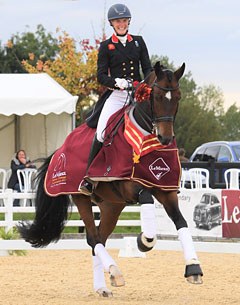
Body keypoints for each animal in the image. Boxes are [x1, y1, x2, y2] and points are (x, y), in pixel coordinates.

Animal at [18, 61, 202, 296]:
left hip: (111, 206)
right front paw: (144, 241)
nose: (165, 138)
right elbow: (147, 201)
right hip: (82, 198)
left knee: (100, 239)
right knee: (93, 238)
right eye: (158, 97)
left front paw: (194, 268)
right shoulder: (130, 187)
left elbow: (181, 222)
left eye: (177, 97)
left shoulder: (165, 190)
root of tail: (60, 149)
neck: (143, 138)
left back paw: (103, 286)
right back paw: (114, 271)